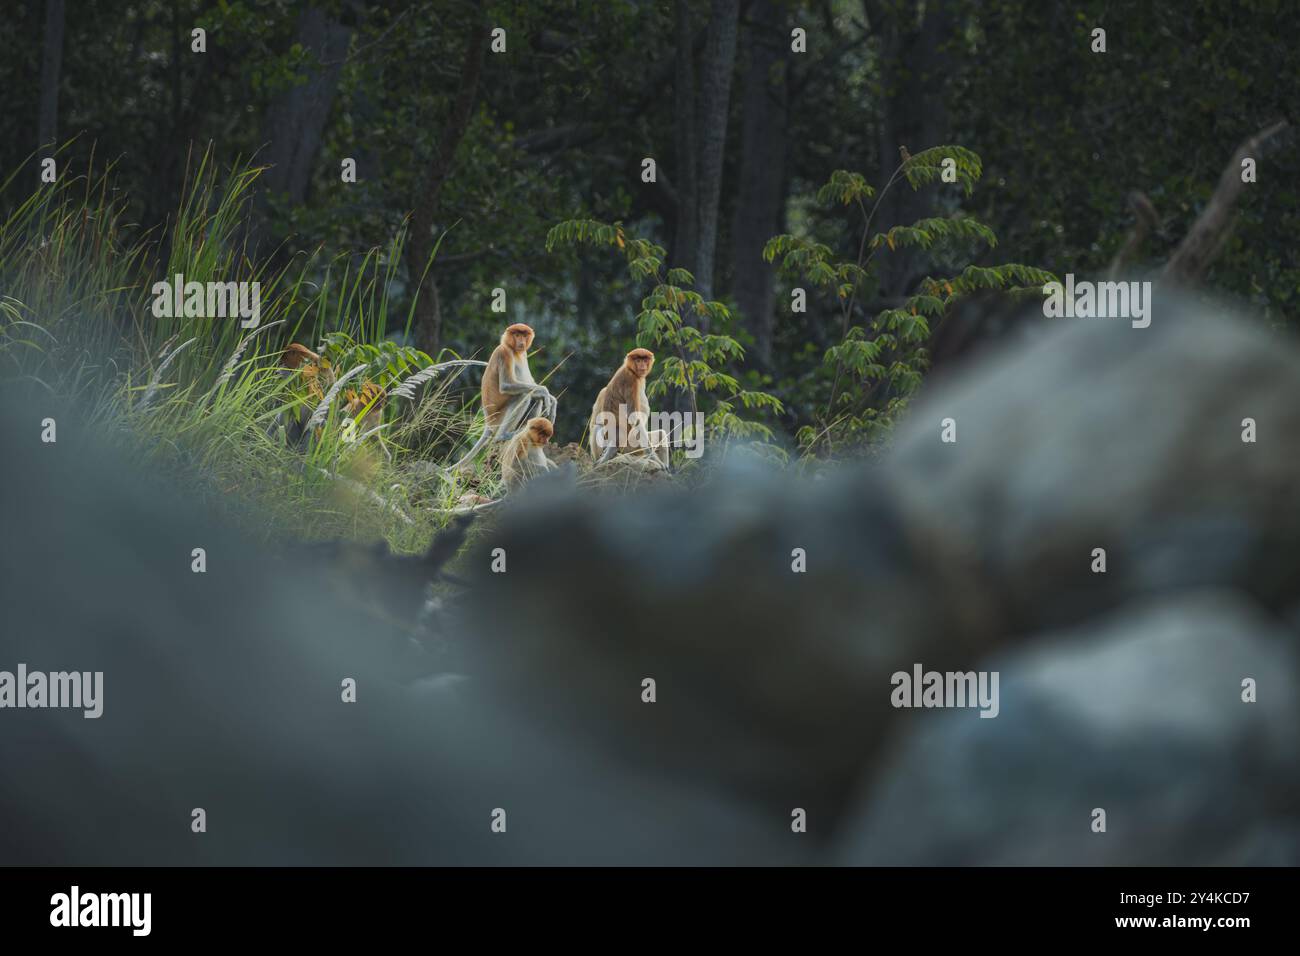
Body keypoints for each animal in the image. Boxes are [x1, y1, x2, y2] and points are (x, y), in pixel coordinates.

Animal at [447, 323, 557, 473]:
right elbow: (506, 385)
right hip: (499, 419)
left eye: (524, 335)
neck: (514, 350)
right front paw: (545, 391)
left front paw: (552, 400)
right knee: (523, 396)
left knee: (535, 399)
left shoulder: (523, 354)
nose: (521, 342)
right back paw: (503, 435)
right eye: (517, 335)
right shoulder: (504, 353)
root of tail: (488, 423)